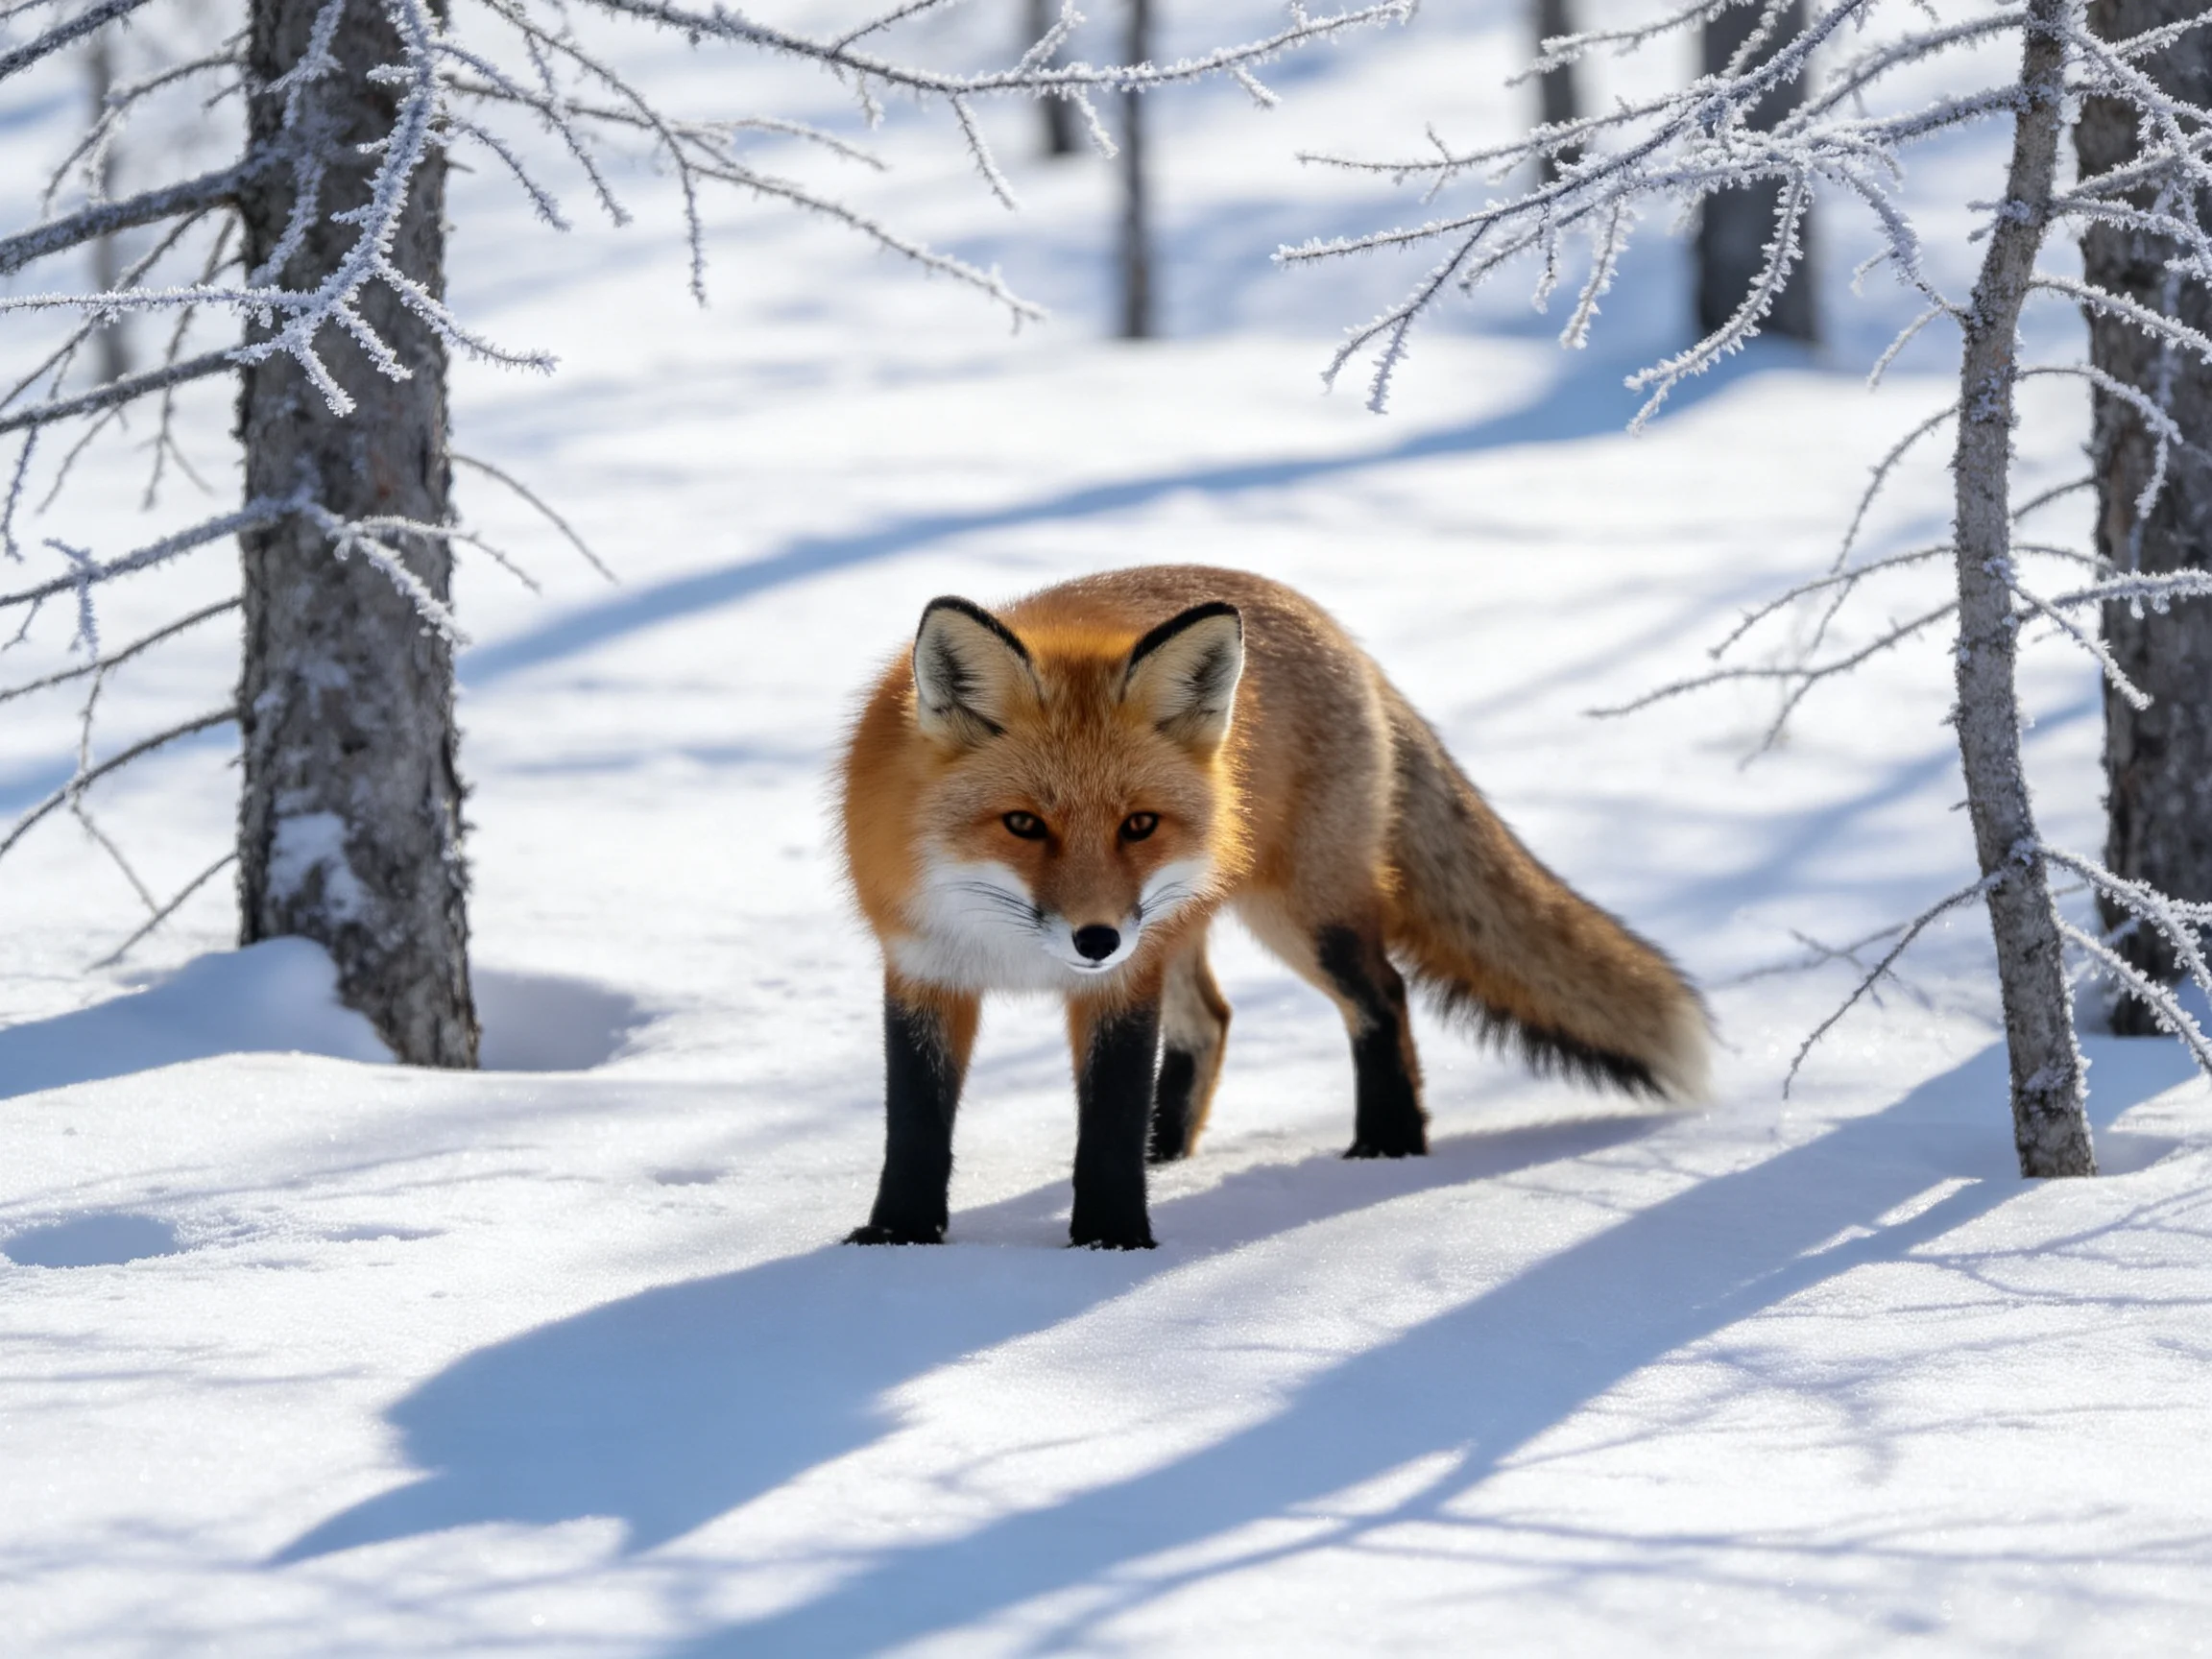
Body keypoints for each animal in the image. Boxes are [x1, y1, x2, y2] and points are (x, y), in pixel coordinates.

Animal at [839, 565, 1708, 1250]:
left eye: (1137, 825)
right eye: (1023, 824)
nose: (1093, 939)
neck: (1013, 946)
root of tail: (1330, 629)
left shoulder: (1119, 983)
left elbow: (1108, 1122)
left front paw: (1111, 1243)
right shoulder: (925, 968)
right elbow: (915, 1123)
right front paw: (898, 1239)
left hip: (1296, 919)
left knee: (1382, 996)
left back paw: (1387, 1147)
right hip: (1177, 929)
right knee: (1212, 1021)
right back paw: (1169, 1151)